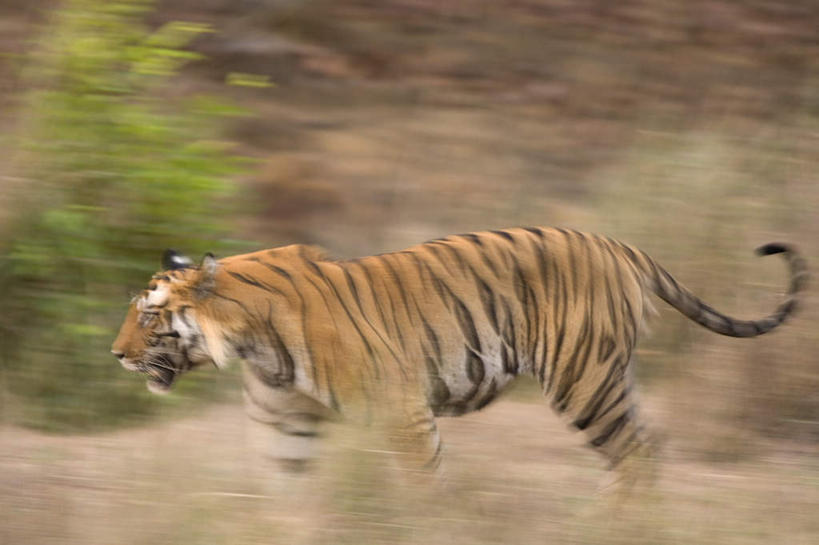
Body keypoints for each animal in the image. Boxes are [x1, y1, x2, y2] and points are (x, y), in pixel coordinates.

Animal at [110, 227, 808, 482]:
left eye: (149, 315)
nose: (115, 355)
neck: (253, 343)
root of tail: (618, 244)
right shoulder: (287, 428)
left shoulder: (403, 416)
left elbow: (424, 492)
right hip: (610, 378)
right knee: (648, 450)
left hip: (583, 382)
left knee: (634, 456)